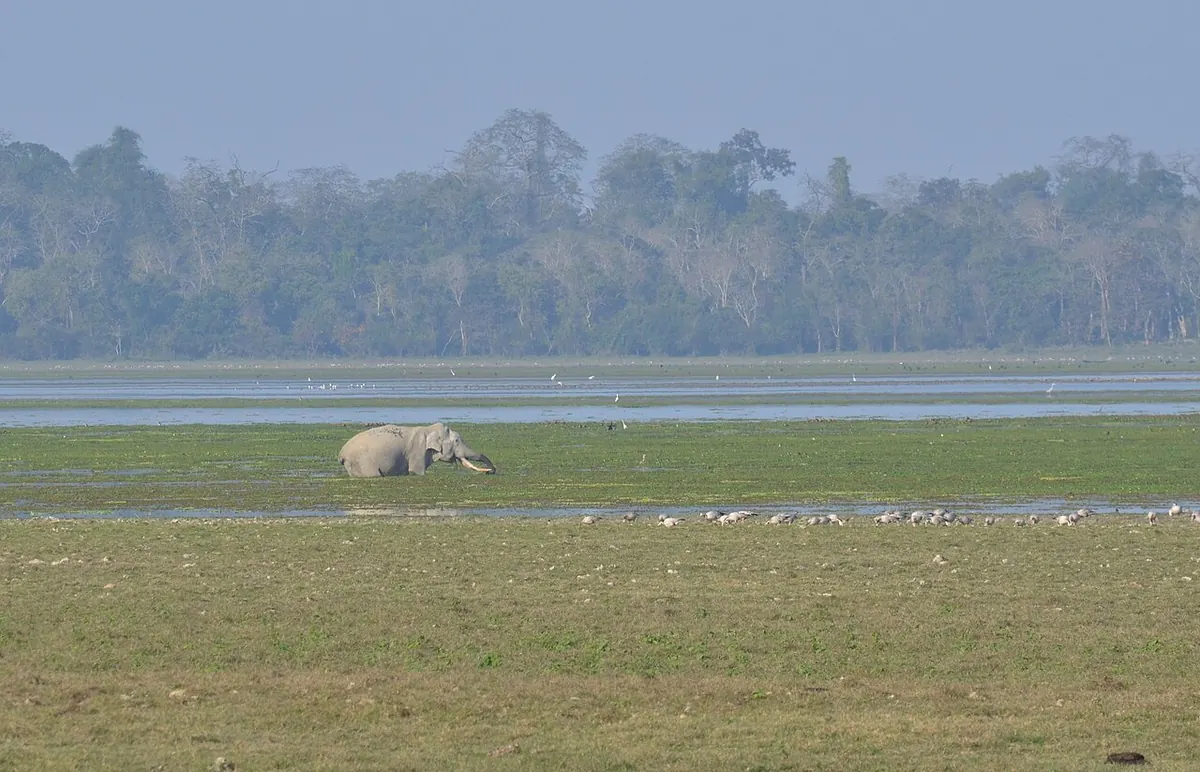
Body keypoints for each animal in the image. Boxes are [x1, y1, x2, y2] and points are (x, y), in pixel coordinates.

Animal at [337, 422, 496, 477]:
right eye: (457, 440)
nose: (491, 471)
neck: (429, 429)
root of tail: (341, 454)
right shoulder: (417, 450)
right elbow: (416, 471)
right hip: (363, 462)